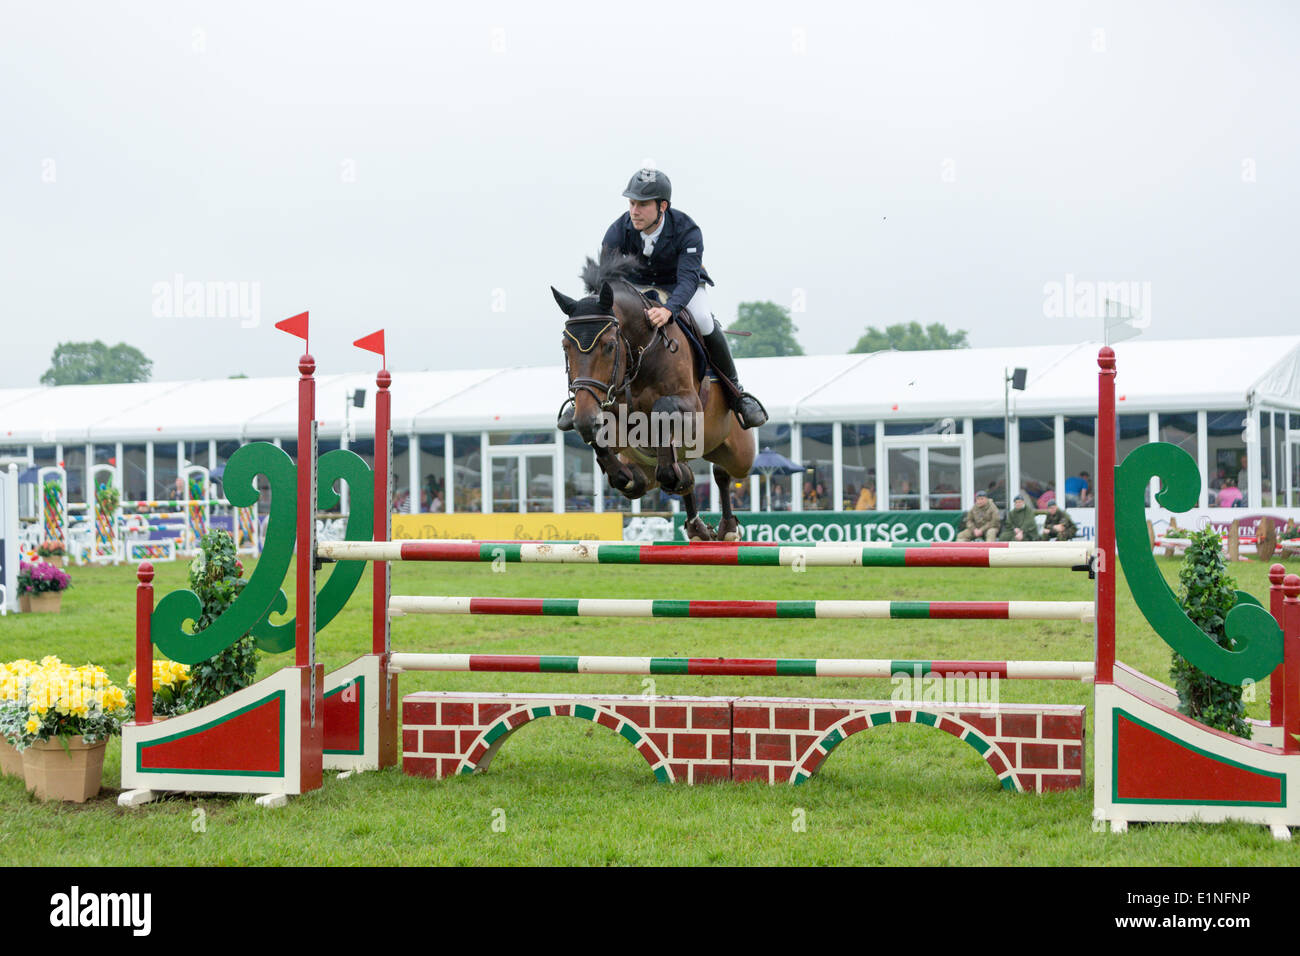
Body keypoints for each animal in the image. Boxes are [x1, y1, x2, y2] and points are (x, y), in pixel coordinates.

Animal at [551, 252, 759, 538]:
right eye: (565, 346)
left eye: (610, 346)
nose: (585, 417)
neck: (638, 358)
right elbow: (617, 464)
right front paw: (627, 475)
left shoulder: (690, 407)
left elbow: (664, 409)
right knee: (666, 478)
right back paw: (697, 526)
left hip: (740, 453)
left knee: (723, 472)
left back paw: (727, 527)